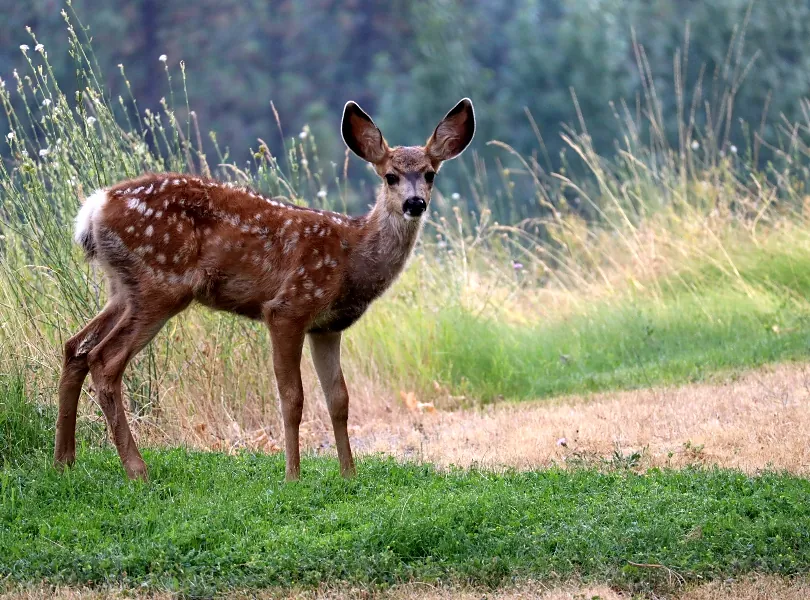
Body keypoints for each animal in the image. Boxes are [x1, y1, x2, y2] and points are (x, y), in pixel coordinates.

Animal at [54, 98, 475, 481]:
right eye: (390, 176)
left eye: (430, 174)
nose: (415, 203)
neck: (351, 256)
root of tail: (94, 208)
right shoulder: (289, 307)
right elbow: (293, 398)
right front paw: (293, 475)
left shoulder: (327, 326)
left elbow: (338, 399)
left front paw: (349, 474)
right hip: (161, 283)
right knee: (105, 359)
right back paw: (137, 470)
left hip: (123, 288)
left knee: (75, 347)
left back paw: (65, 461)